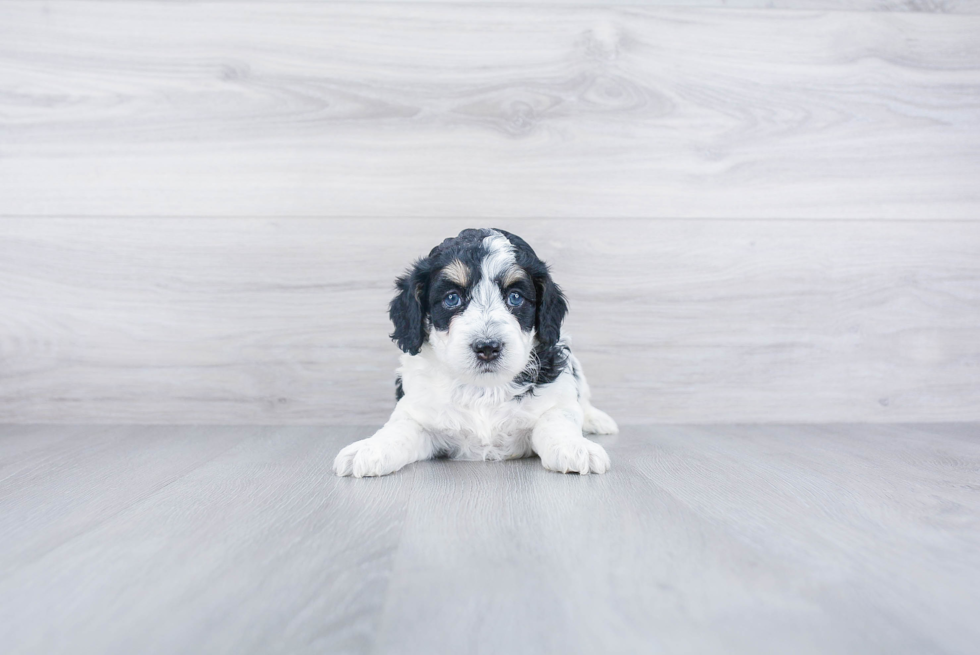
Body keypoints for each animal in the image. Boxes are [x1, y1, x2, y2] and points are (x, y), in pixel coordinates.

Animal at [334, 228, 616, 480]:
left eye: (515, 297)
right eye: (451, 299)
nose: (487, 347)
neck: (483, 388)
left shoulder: (557, 397)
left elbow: (557, 420)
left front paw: (575, 447)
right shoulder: (418, 414)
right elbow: (399, 429)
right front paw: (369, 449)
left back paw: (598, 420)